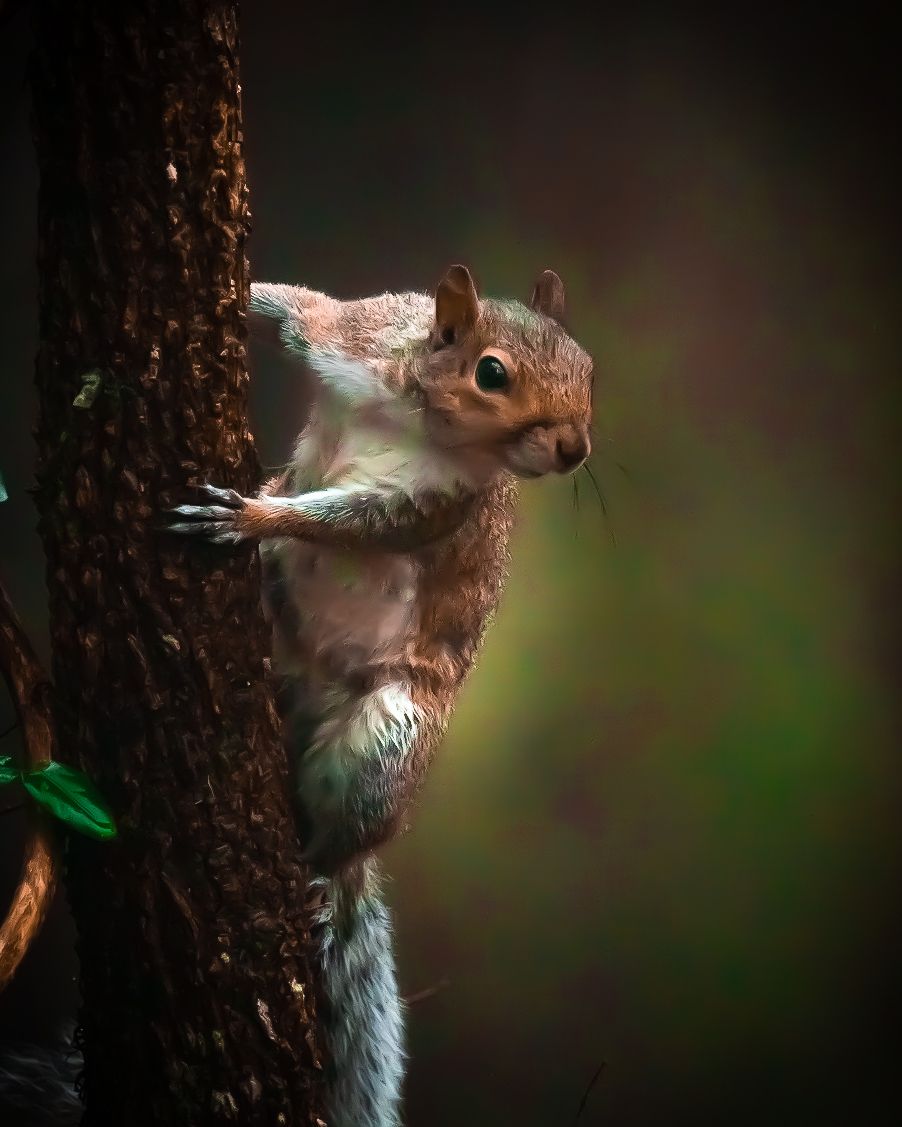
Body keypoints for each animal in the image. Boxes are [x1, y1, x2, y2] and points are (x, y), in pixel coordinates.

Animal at [0, 264, 594, 1127]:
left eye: (589, 370)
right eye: (492, 373)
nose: (576, 447)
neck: (423, 420)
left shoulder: (432, 502)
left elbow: (358, 523)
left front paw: (250, 514)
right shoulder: (348, 338)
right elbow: (291, 307)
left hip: (388, 735)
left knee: (341, 833)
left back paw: (320, 876)